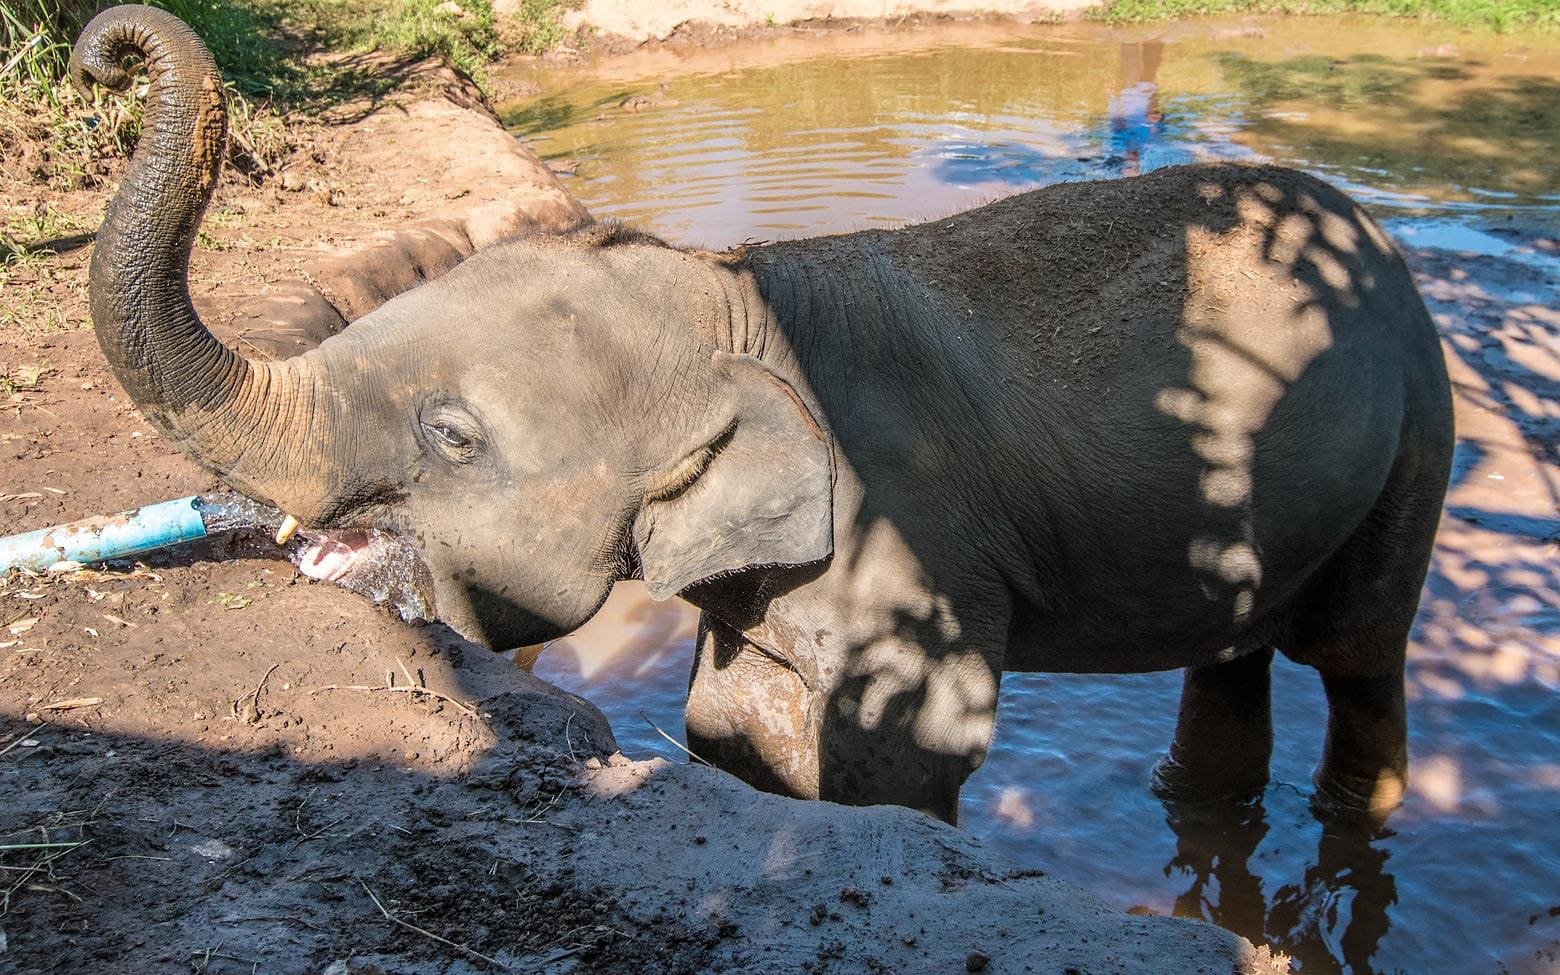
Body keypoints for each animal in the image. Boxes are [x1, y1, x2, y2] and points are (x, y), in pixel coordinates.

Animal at [73, 11, 1447, 823]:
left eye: (451, 437)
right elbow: (736, 729)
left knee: (1355, 654)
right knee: (1236, 655)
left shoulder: (915, 550)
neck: (733, 298)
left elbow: (907, 757)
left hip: (1416, 438)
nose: (101, 50)